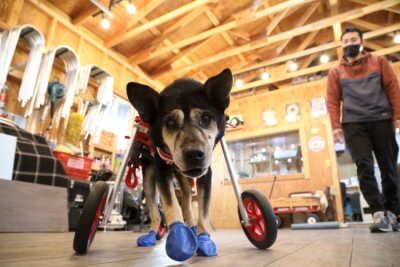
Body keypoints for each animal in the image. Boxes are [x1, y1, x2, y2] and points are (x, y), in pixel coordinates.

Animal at [126, 69, 233, 262]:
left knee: (187, 201)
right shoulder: (162, 169)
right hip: (149, 177)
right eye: (169, 122)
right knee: (155, 212)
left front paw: (204, 239)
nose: (194, 154)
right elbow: (171, 204)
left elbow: (203, 212)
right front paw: (179, 239)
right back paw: (151, 234)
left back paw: (191, 228)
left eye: (206, 118)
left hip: (184, 180)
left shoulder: (206, 174)